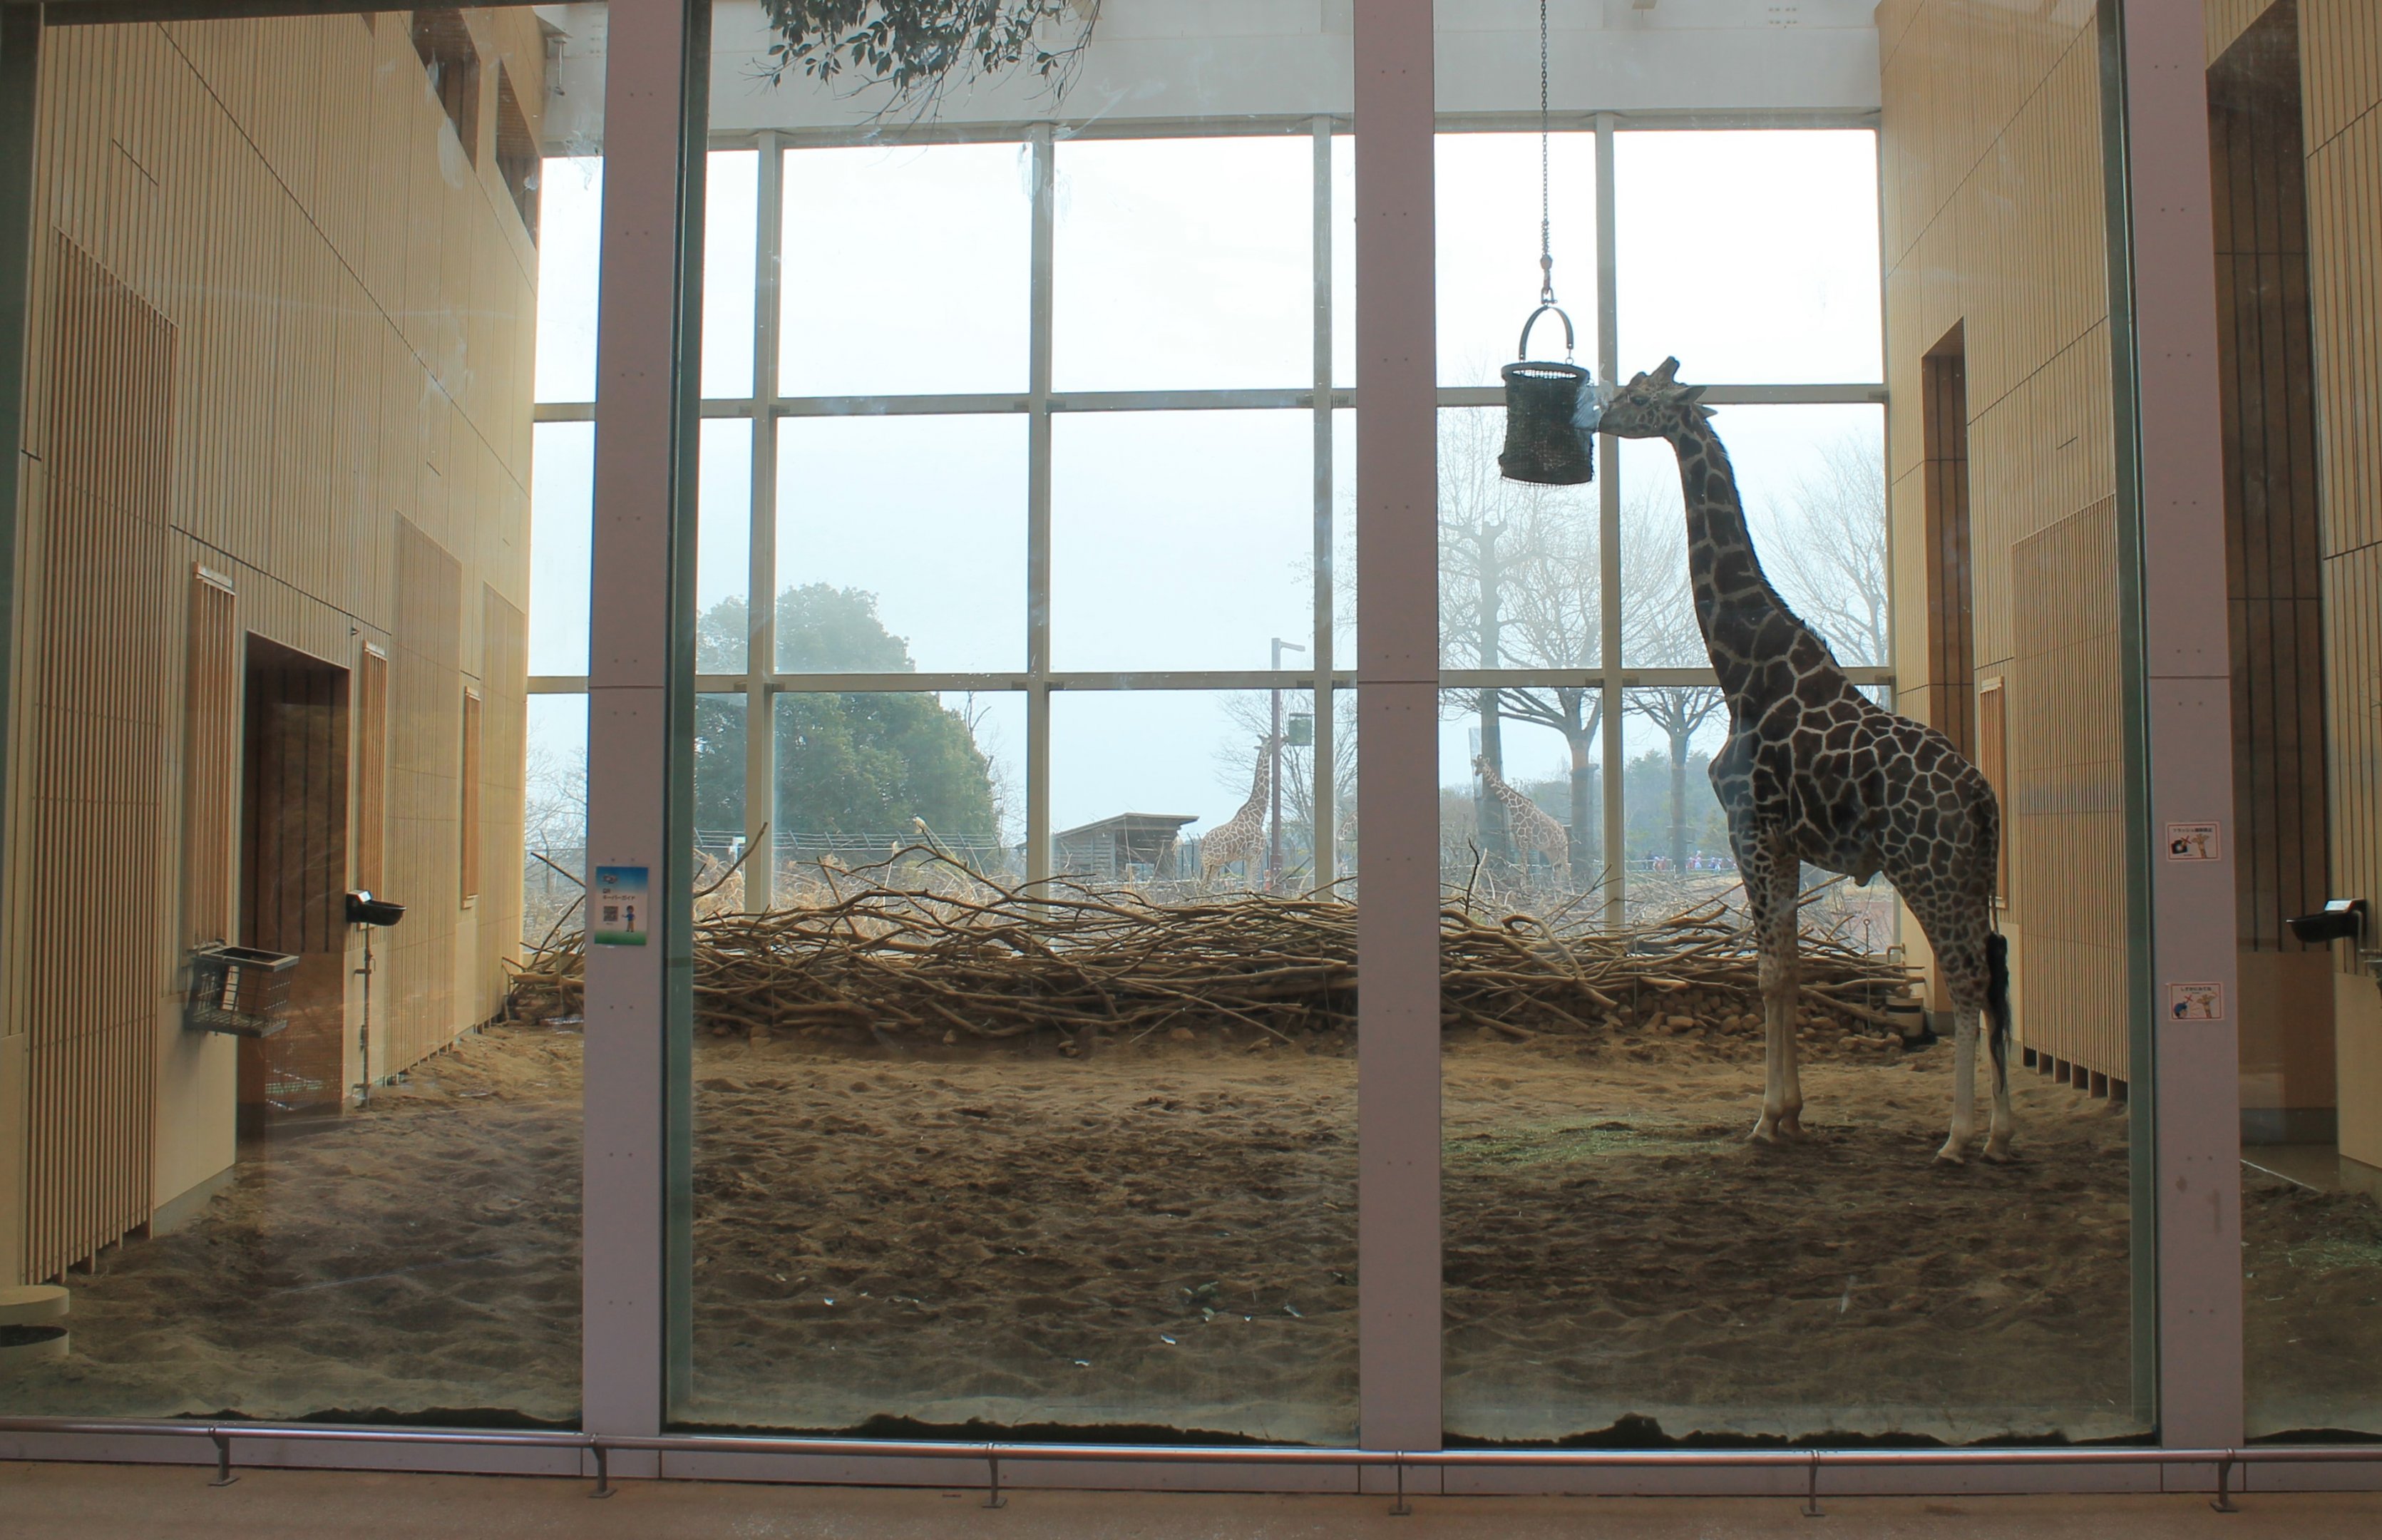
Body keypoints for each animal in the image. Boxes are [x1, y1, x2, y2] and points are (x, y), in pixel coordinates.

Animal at [1200, 736, 1280, 885]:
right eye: (1270, 741)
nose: (1284, 738)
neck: (1258, 815)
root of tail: (1203, 844)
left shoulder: (1248, 858)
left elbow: (1247, 885)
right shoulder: (1256, 854)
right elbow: (1252, 885)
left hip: (1213, 864)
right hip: (1212, 862)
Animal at [1474, 755, 1572, 889]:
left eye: (1483, 765)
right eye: (1476, 765)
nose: (1476, 773)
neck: (1514, 807)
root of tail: (1564, 832)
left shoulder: (1524, 841)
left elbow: (1524, 866)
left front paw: (1524, 888)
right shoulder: (1518, 841)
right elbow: (1524, 867)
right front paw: (1525, 887)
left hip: (1562, 847)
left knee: (1567, 868)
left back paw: (1571, 891)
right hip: (1550, 850)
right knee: (1557, 869)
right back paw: (1558, 891)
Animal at [1579, 358, 2012, 1162]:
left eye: (1640, 395)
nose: (1600, 417)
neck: (1741, 669)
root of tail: (1979, 794)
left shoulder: (1748, 828)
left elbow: (1771, 973)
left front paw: (1767, 1118)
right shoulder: (1781, 841)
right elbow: (1787, 970)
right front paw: (1790, 1115)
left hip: (1925, 866)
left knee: (1967, 977)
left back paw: (1957, 1136)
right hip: (1973, 870)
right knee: (1995, 970)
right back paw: (2001, 1132)